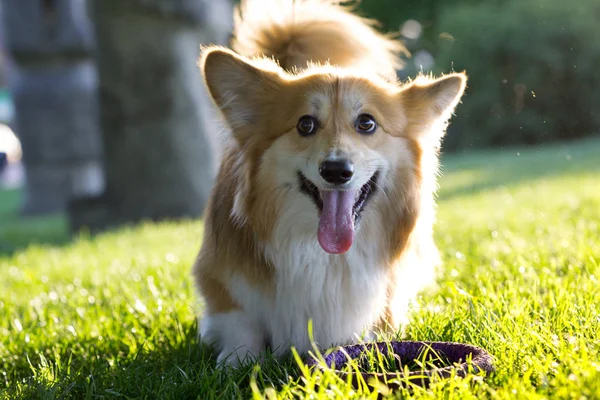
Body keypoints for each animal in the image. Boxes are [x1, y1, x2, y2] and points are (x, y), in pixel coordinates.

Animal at [195, 0, 466, 366]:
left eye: (366, 123)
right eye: (305, 124)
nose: (336, 170)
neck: (325, 256)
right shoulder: (221, 277)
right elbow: (240, 323)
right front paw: (236, 361)